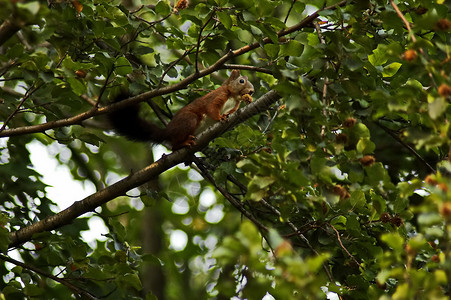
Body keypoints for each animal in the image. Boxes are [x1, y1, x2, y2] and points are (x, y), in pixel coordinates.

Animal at [109, 69, 254, 150]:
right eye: (241, 81)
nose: (252, 91)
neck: (233, 96)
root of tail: (167, 132)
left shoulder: (235, 105)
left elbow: (232, 112)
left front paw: (245, 102)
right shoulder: (218, 96)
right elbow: (211, 108)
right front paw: (220, 117)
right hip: (189, 120)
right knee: (174, 146)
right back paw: (183, 144)